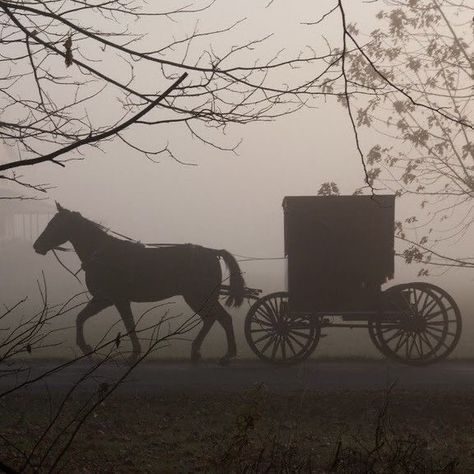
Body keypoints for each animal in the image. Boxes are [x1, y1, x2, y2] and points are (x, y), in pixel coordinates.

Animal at [34, 202, 244, 364]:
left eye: (55, 224)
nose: (37, 246)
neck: (103, 254)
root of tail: (212, 252)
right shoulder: (106, 299)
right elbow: (83, 318)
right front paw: (88, 348)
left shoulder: (113, 299)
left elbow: (127, 324)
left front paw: (130, 354)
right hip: (199, 297)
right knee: (213, 319)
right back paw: (198, 352)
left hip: (198, 296)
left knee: (221, 318)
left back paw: (226, 355)